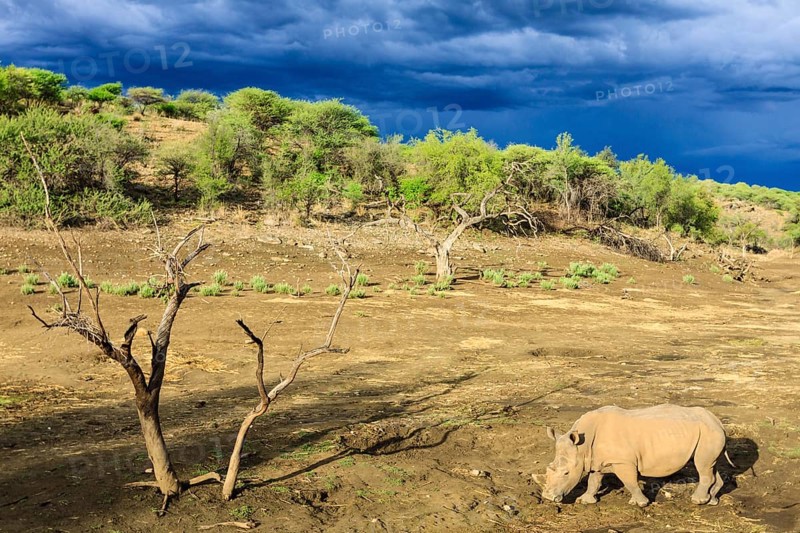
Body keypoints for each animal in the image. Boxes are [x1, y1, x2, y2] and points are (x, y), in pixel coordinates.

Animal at [537, 404, 734, 507]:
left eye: (566, 473)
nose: (548, 497)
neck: (582, 447)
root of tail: (717, 421)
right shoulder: (596, 460)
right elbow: (594, 481)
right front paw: (585, 501)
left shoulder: (623, 462)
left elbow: (630, 482)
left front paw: (640, 504)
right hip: (708, 433)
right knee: (710, 465)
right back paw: (711, 501)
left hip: (708, 432)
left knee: (702, 466)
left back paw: (697, 501)